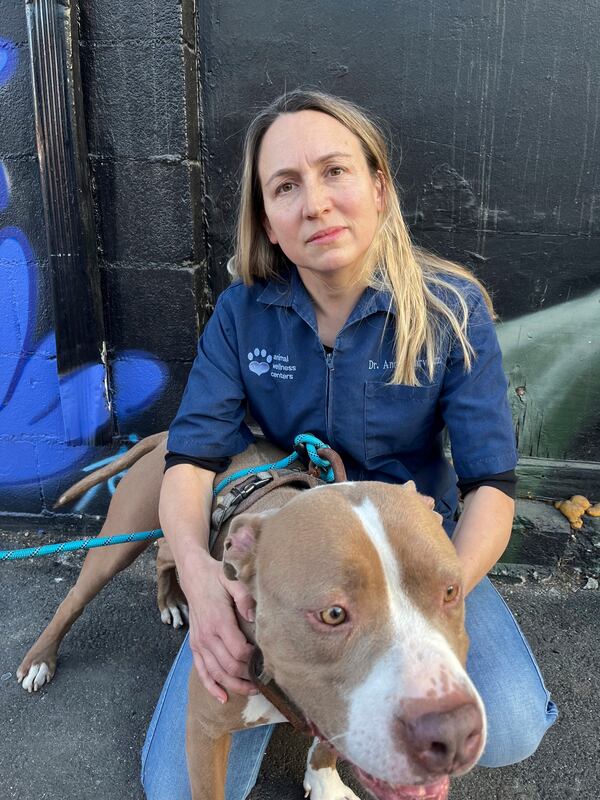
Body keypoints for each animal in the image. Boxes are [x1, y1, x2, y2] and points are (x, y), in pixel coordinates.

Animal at [17, 438, 488, 800]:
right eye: (333, 614)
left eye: (450, 591)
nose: (453, 735)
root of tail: (164, 433)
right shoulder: (204, 730)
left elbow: (328, 744)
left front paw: (325, 784)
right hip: (118, 541)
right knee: (77, 596)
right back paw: (39, 660)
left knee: (168, 553)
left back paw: (170, 599)